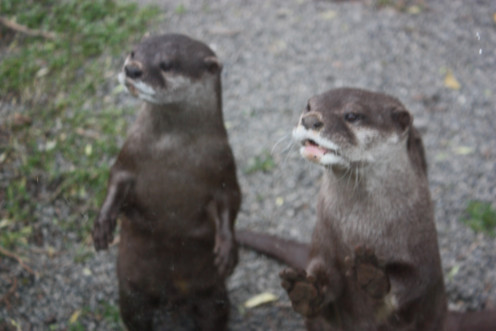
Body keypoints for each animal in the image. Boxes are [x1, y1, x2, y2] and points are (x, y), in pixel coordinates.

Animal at [94, 34, 241, 331]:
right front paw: (103, 225)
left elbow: (232, 200)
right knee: (136, 313)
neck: (173, 151)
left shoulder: (223, 166)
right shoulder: (129, 155)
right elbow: (115, 180)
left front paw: (227, 249)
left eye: (167, 64)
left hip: (214, 295)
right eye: (133, 51)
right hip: (132, 289)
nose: (132, 69)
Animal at [236, 89, 496, 331]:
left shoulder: (422, 259)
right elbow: (323, 279)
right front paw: (304, 290)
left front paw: (372, 275)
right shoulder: (323, 246)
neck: (360, 227)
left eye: (352, 115)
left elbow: (412, 286)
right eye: (309, 106)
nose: (309, 120)